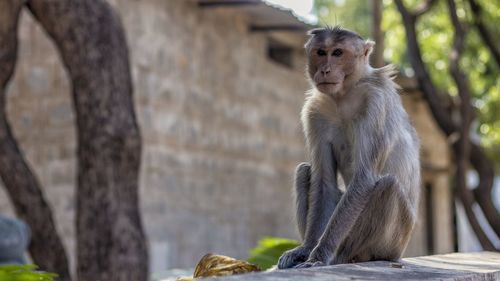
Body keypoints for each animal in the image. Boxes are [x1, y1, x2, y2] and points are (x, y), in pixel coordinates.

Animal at [278, 26, 422, 270]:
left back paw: (342, 257)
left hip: (393, 241)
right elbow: (323, 181)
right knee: (304, 171)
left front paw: (319, 255)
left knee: (388, 185)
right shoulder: (315, 112)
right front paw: (307, 250)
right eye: (320, 52)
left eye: (337, 53)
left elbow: (364, 179)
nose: (325, 70)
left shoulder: (375, 103)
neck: (343, 96)